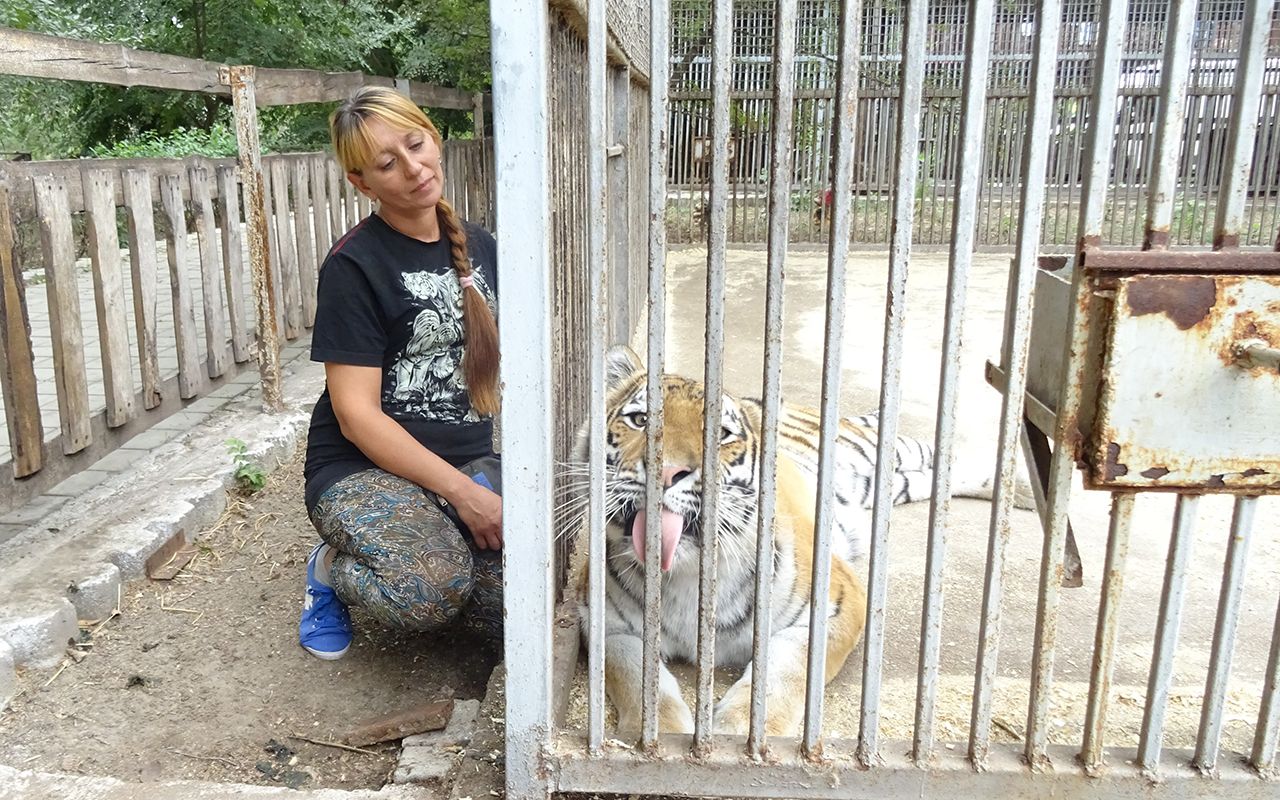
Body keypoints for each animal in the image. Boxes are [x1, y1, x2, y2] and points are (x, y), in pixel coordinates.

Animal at [565, 345, 1024, 737]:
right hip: (888, 483)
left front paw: (740, 732)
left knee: (939, 453)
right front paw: (659, 734)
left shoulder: (835, 607)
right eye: (640, 420)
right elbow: (637, 679)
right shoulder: (608, 625)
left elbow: (783, 673)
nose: (667, 471)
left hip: (877, 451)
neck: (685, 576)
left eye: (722, 433)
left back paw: (1018, 488)